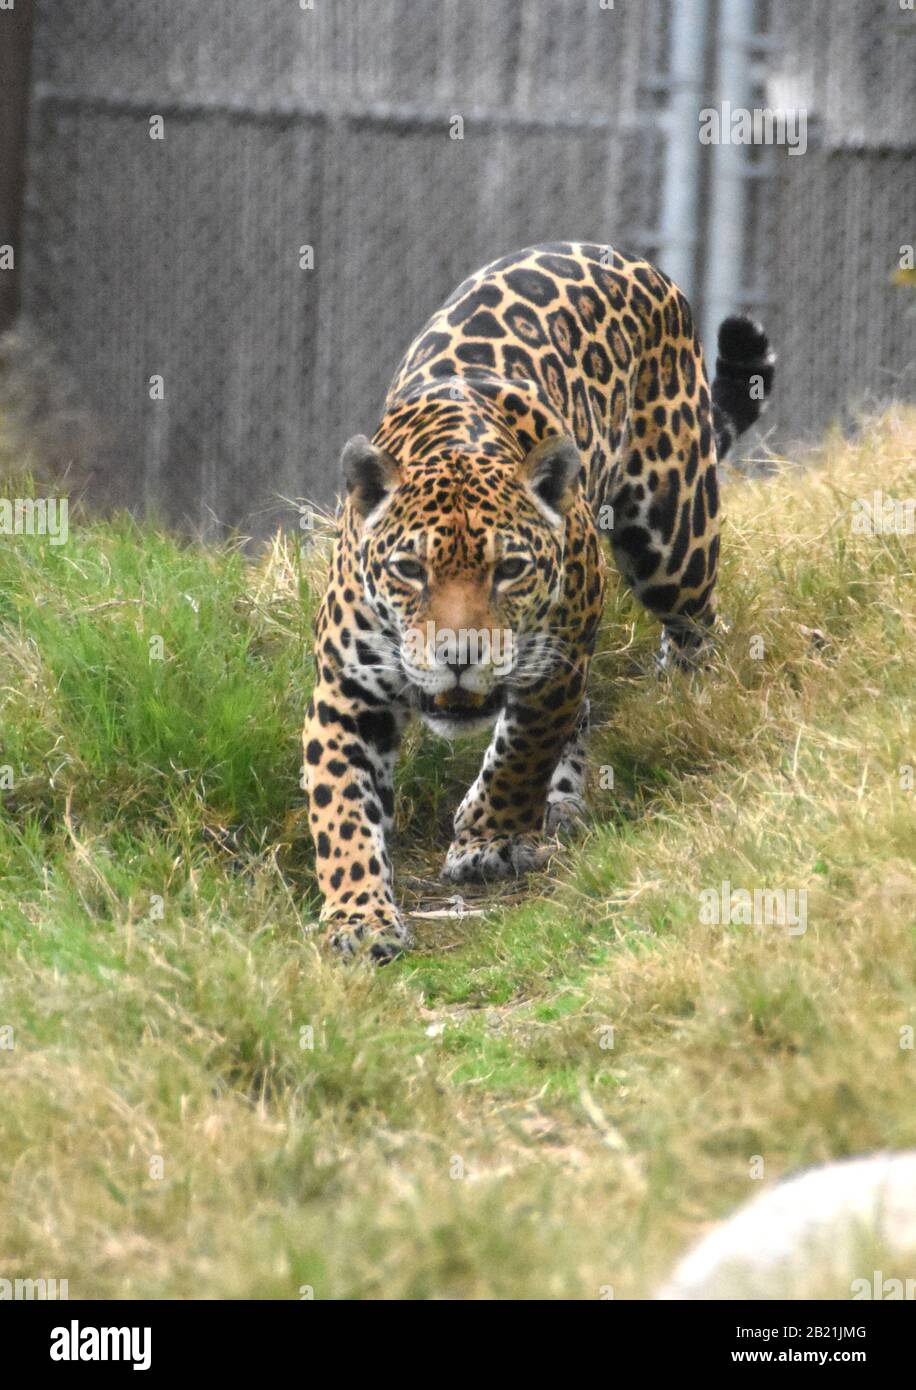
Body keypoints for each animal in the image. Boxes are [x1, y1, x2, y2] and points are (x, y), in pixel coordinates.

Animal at [302, 242, 774, 962]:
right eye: (410, 570)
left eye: (510, 570)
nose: (460, 656)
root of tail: (634, 261)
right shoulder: (347, 692)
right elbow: (342, 813)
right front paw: (360, 918)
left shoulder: (557, 658)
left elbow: (523, 751)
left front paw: (489, 840)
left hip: (672, 535)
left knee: (693, 625)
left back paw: (683, 696)